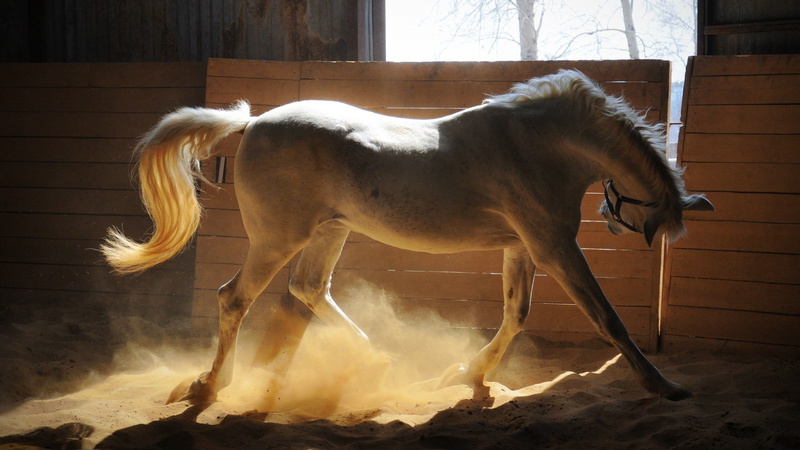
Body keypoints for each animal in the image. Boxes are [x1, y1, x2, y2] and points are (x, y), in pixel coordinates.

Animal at [102, 70, 714, 407]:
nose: (617, 221)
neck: (538, 143)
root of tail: (252, 124)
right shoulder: (554, 247)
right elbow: (607, 319)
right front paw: (664, 386)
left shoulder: (522, 248)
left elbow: (516, 314)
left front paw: (469, 375)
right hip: (277, 239)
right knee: (236, 298)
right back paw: (209, 386)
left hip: (329, 232)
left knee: (309, 290)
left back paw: (376, 360)